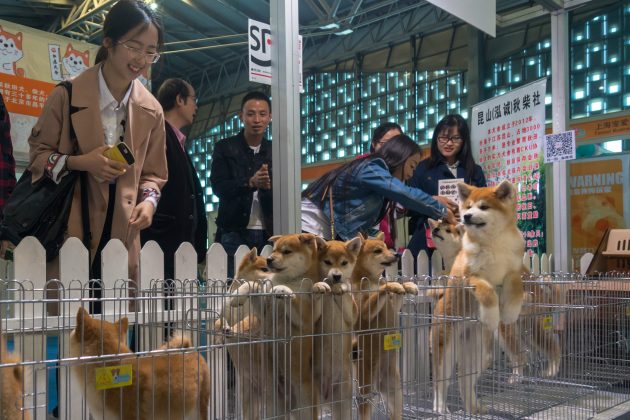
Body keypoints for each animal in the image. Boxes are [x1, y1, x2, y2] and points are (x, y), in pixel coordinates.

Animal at [314, 238, 362, 418]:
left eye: (344, 263)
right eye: (327, 262)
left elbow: (345, 293)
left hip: (343, 401)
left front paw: (341, 287)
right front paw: (319, 286)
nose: (336, 276)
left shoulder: (352, 315)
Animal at [350, 233, 420, 420]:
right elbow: (381, 289)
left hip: (395, 392)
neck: (371, 280)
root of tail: (378, 383)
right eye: (377, 251)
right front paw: (391, 285)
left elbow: (398, 290)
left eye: (387, 247)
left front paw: (408, 285)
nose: (396, 255)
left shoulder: (394, 306)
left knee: (395, 414)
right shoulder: (363, 313)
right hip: (366, 392)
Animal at [434, 180, 528, 414]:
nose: (466, 217)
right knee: (440, 384)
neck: (493, 244)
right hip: (445, 352)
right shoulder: (472, 277)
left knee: (465, 381)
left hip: (477, 355)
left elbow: (516, 288)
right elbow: (487, 293)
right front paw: (492, 316)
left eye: (483, 207)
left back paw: (473, 407)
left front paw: (509, 313)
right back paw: (440, 408)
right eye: (468, 207)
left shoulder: (514, 272)